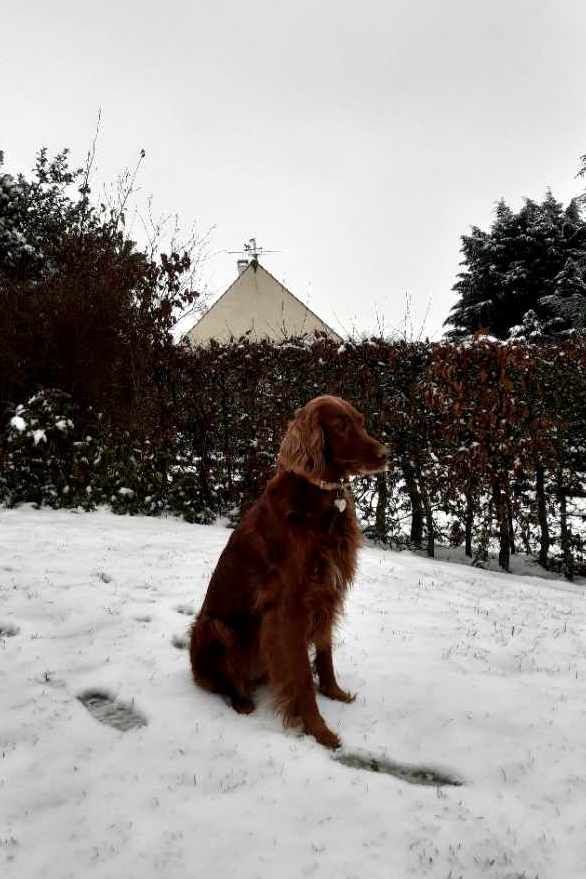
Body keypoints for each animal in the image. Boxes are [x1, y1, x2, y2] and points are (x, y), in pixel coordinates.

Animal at [189, 396, 386, 744]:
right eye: (341, 426)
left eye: (361, 422)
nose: (385, 454)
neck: (321, 498)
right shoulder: (290, 605)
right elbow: (303, 676)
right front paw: (319, 730)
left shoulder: (326, 593)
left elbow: (324, 651)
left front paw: (334, 692)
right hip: (213, 626)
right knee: (220, 680)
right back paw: (241, 701)